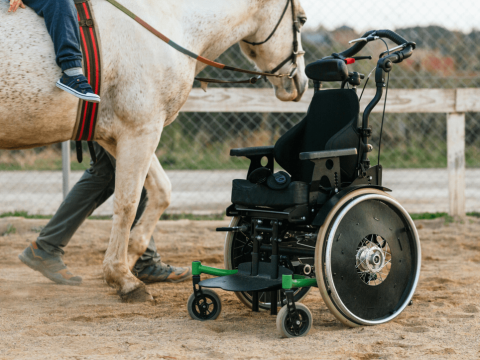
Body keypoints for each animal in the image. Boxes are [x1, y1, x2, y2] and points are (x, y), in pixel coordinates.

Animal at [0, 0, 308, 300]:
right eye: (303, 20)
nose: (301, 83)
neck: (167, 21)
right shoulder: (141, 130)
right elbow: (128, 203)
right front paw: (123, 278)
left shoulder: (118, 136)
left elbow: (160, 191)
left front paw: (132, 259)